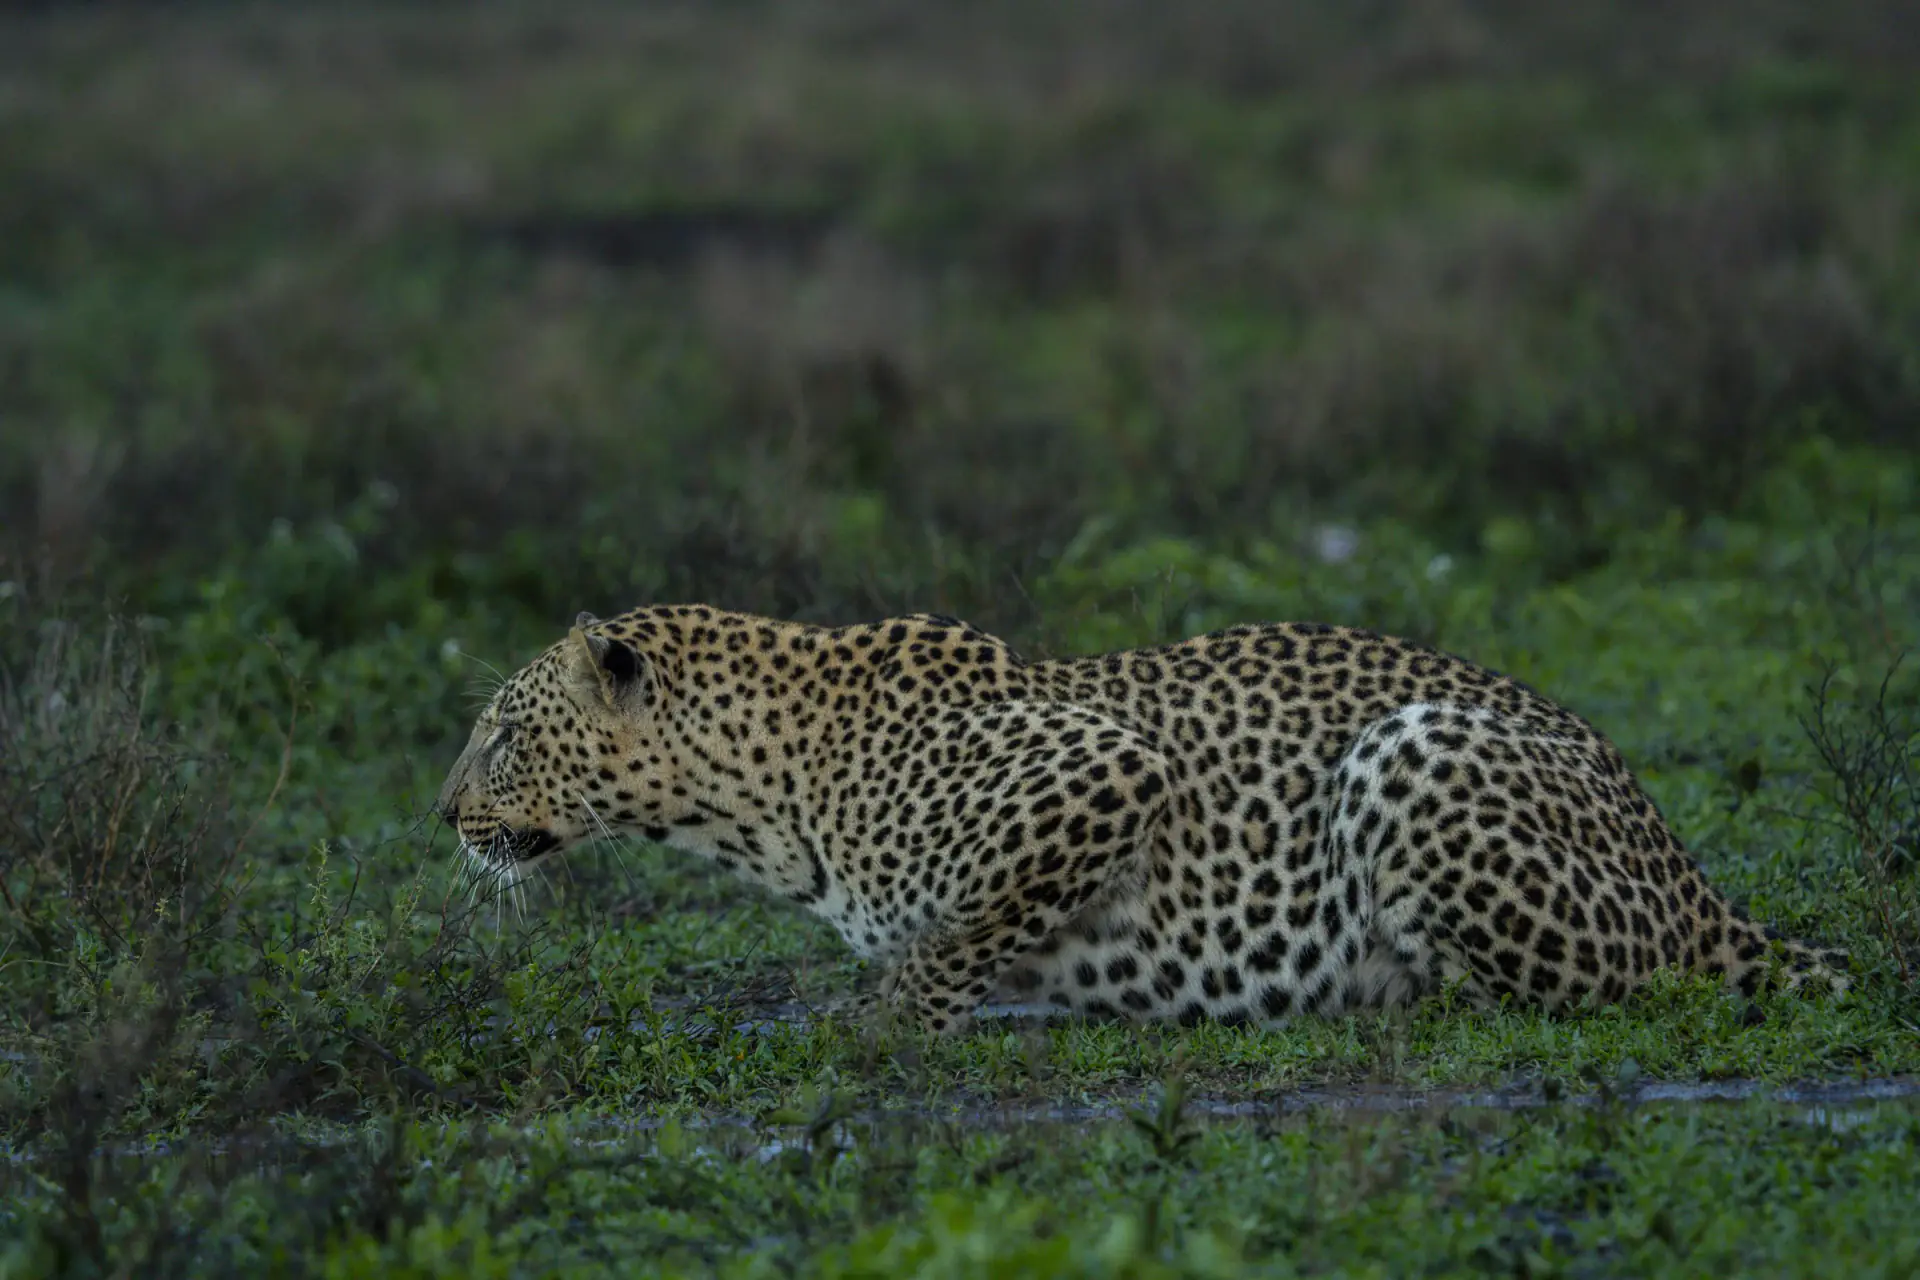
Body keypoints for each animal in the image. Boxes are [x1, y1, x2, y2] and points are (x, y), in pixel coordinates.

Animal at [435, 604, 1848, 1035]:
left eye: (502, 729)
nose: (441, 810)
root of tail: (1693, 873)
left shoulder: (1103, 772)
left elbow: (957, 938)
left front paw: (886, 1025)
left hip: (1417, 749)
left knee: (1605, 988)